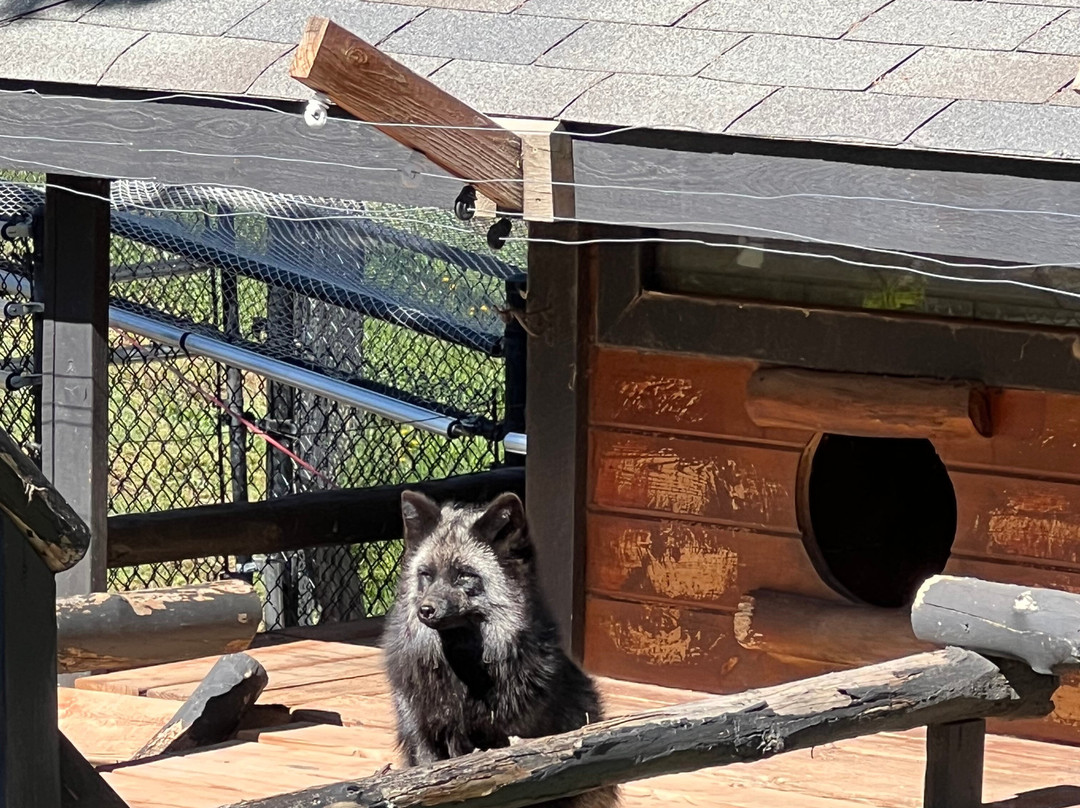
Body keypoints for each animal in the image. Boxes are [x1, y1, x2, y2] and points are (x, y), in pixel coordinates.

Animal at [381, 490, 618, 808]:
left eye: (463, 575)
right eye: (427, 574)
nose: (426, 610)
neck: (462, 680)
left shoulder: (514, 744)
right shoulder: (424, 738)